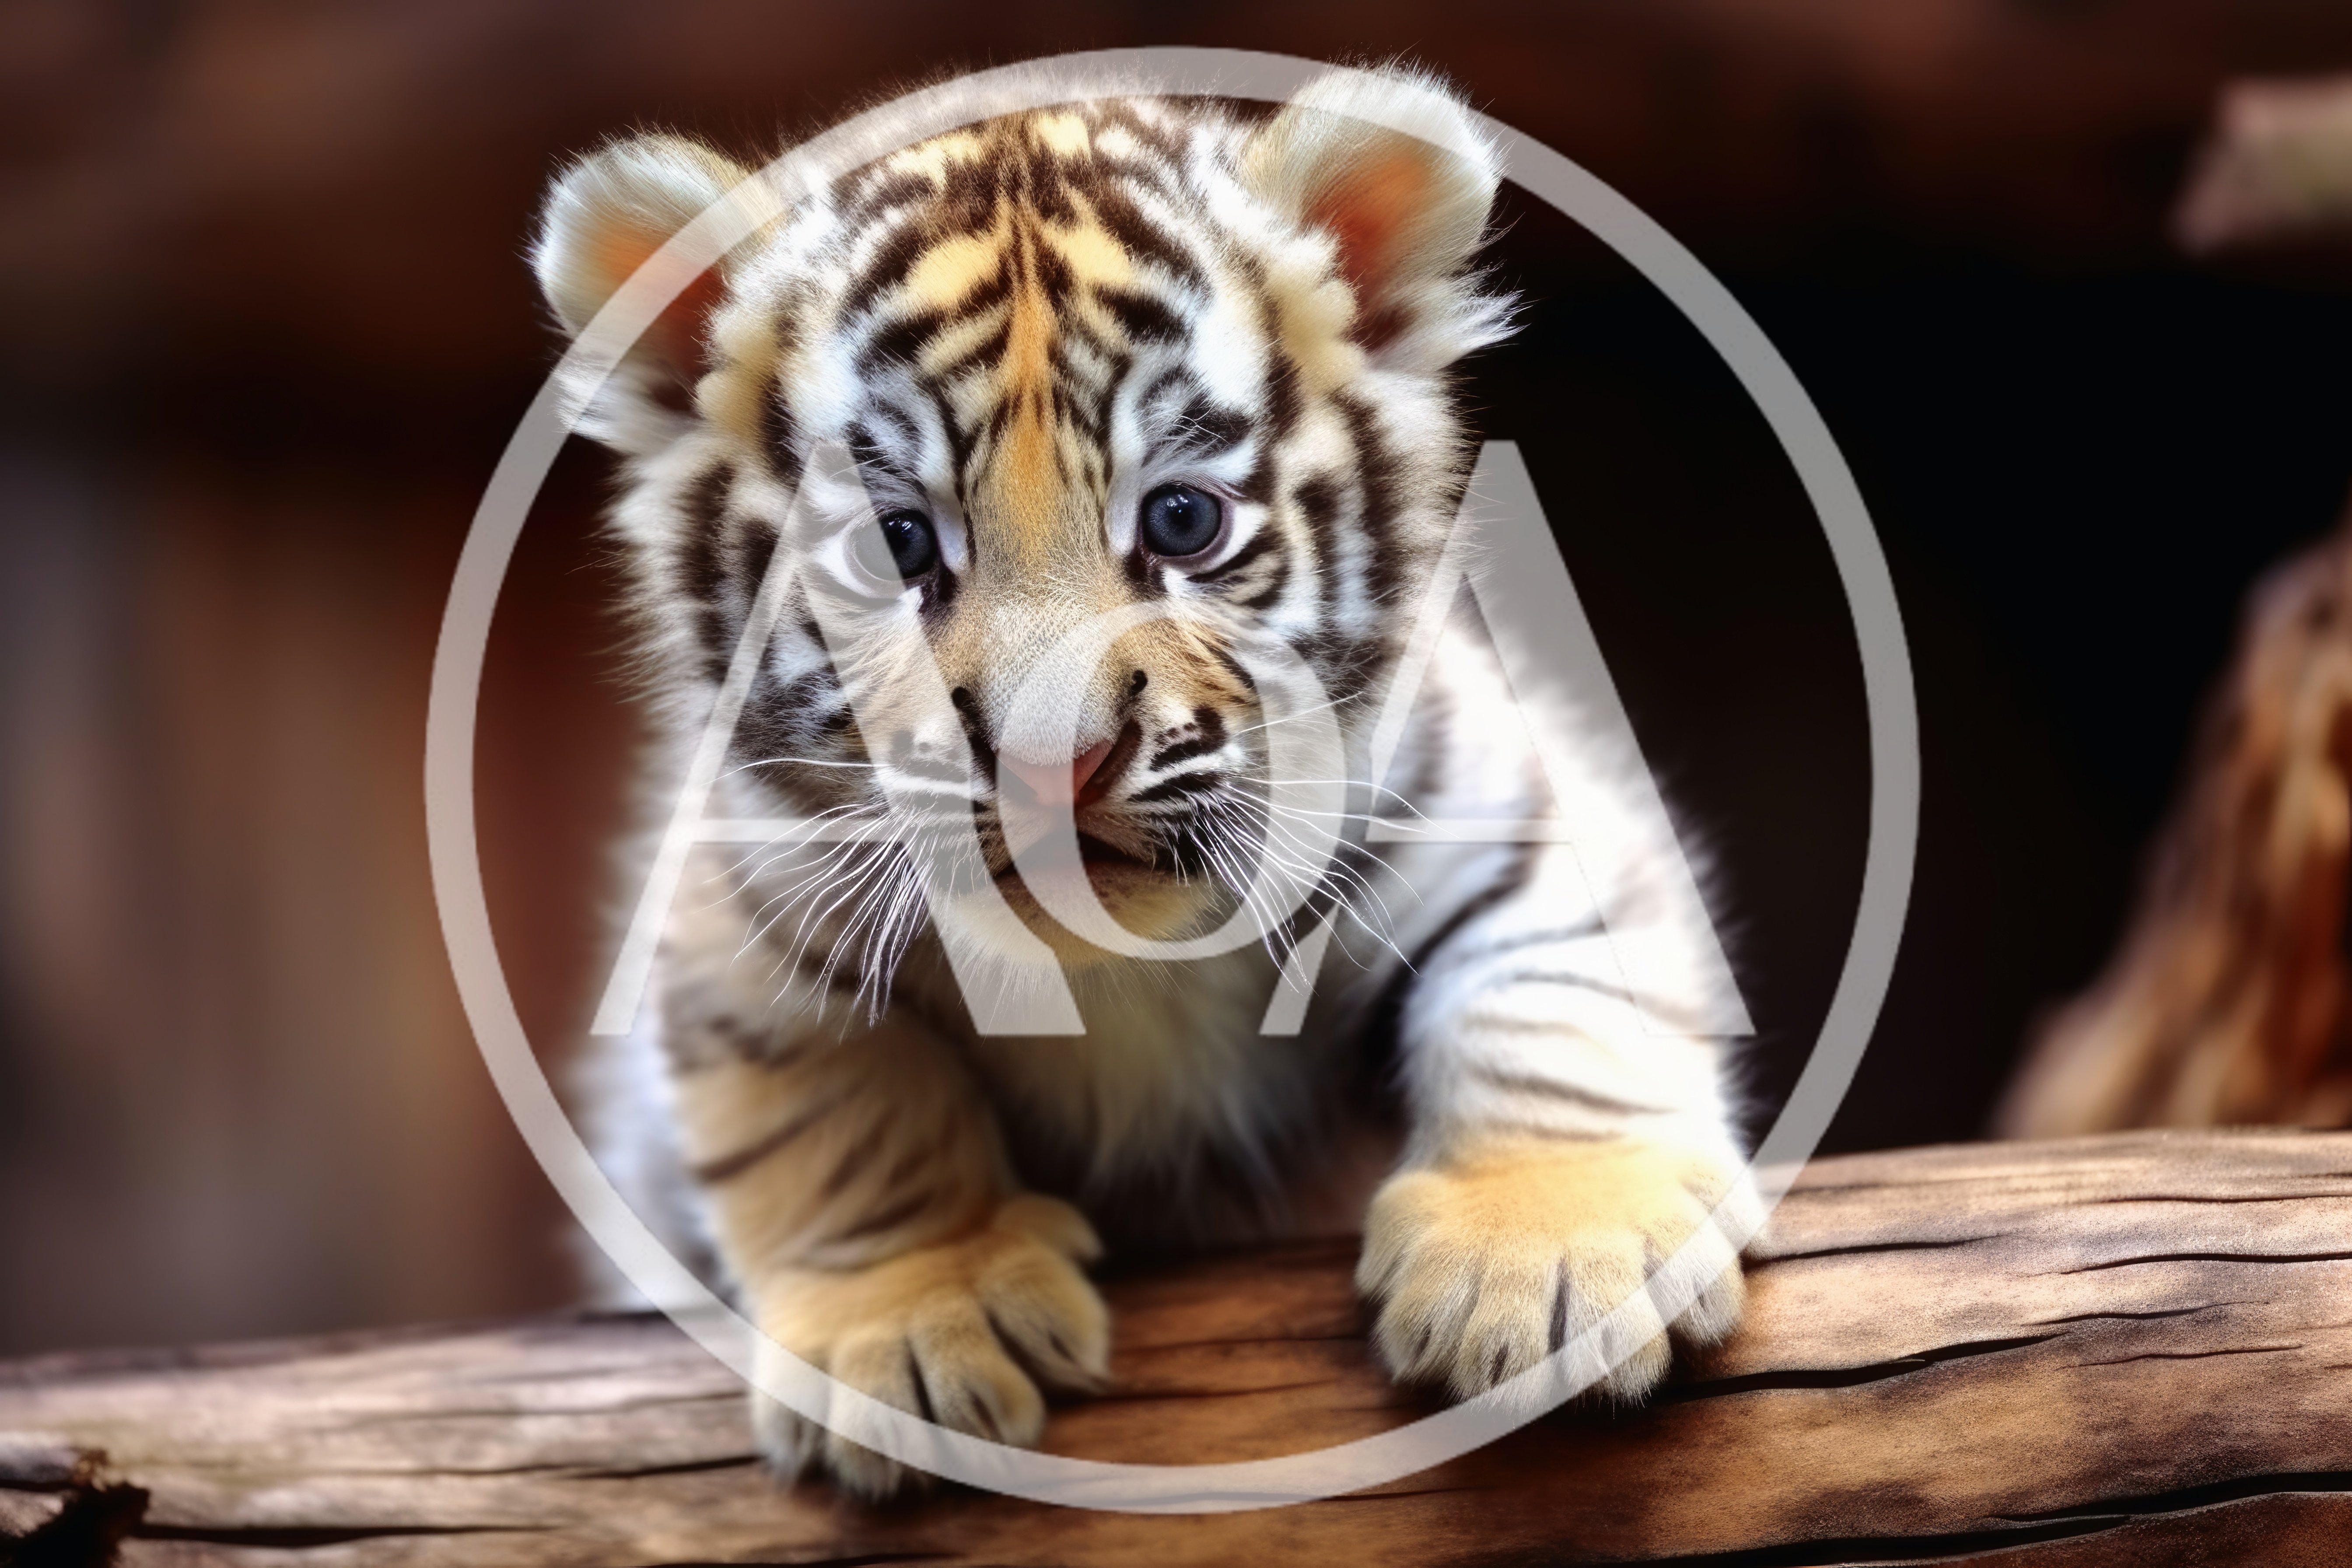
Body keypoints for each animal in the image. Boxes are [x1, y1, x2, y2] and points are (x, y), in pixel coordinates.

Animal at [533, 64, 1758, 1496]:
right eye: (896, 546)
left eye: (1182, 520)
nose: (1051, 761)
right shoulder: (748, 909)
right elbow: (837, 1110)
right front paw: (910, 1322)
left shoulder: (1486, 802)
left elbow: (1551, 989)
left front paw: (1556, 1256)